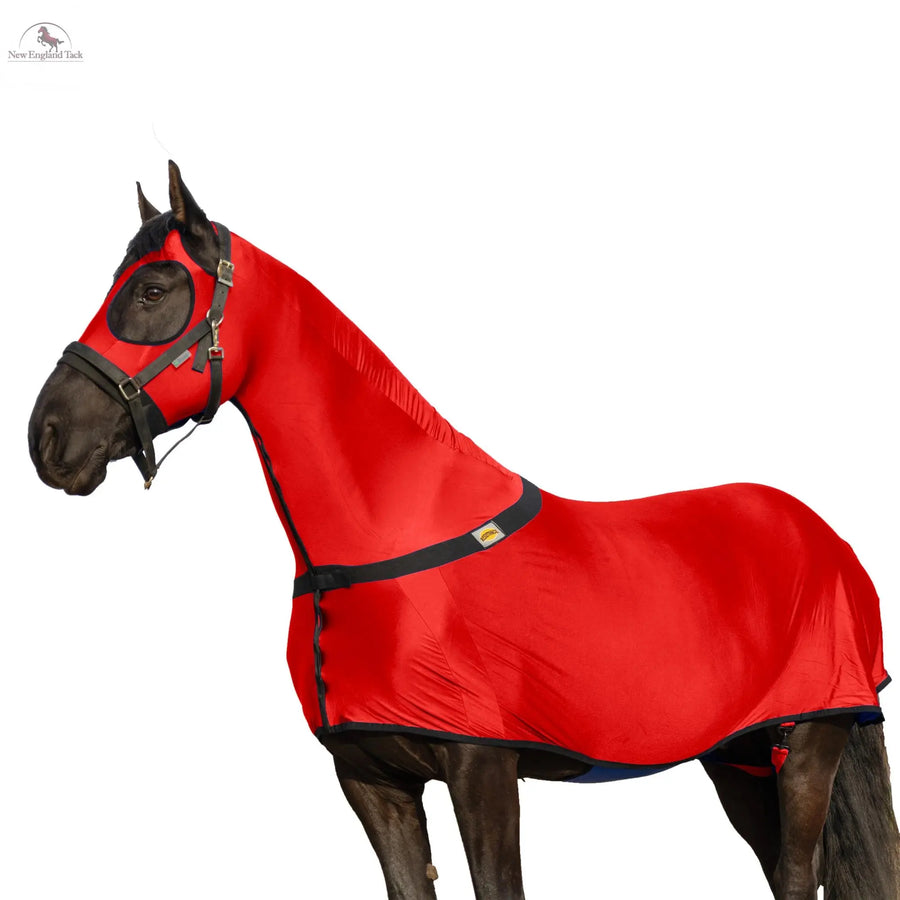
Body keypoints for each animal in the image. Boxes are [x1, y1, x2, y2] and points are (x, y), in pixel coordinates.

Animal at [28, 161, 900, 899]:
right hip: (741, 758)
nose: (48, 438)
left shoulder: (483, 769)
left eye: (152, 289)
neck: (384, 537)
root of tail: (825, 537)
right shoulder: (371, 779)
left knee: (798, 876)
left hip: (810, 743)